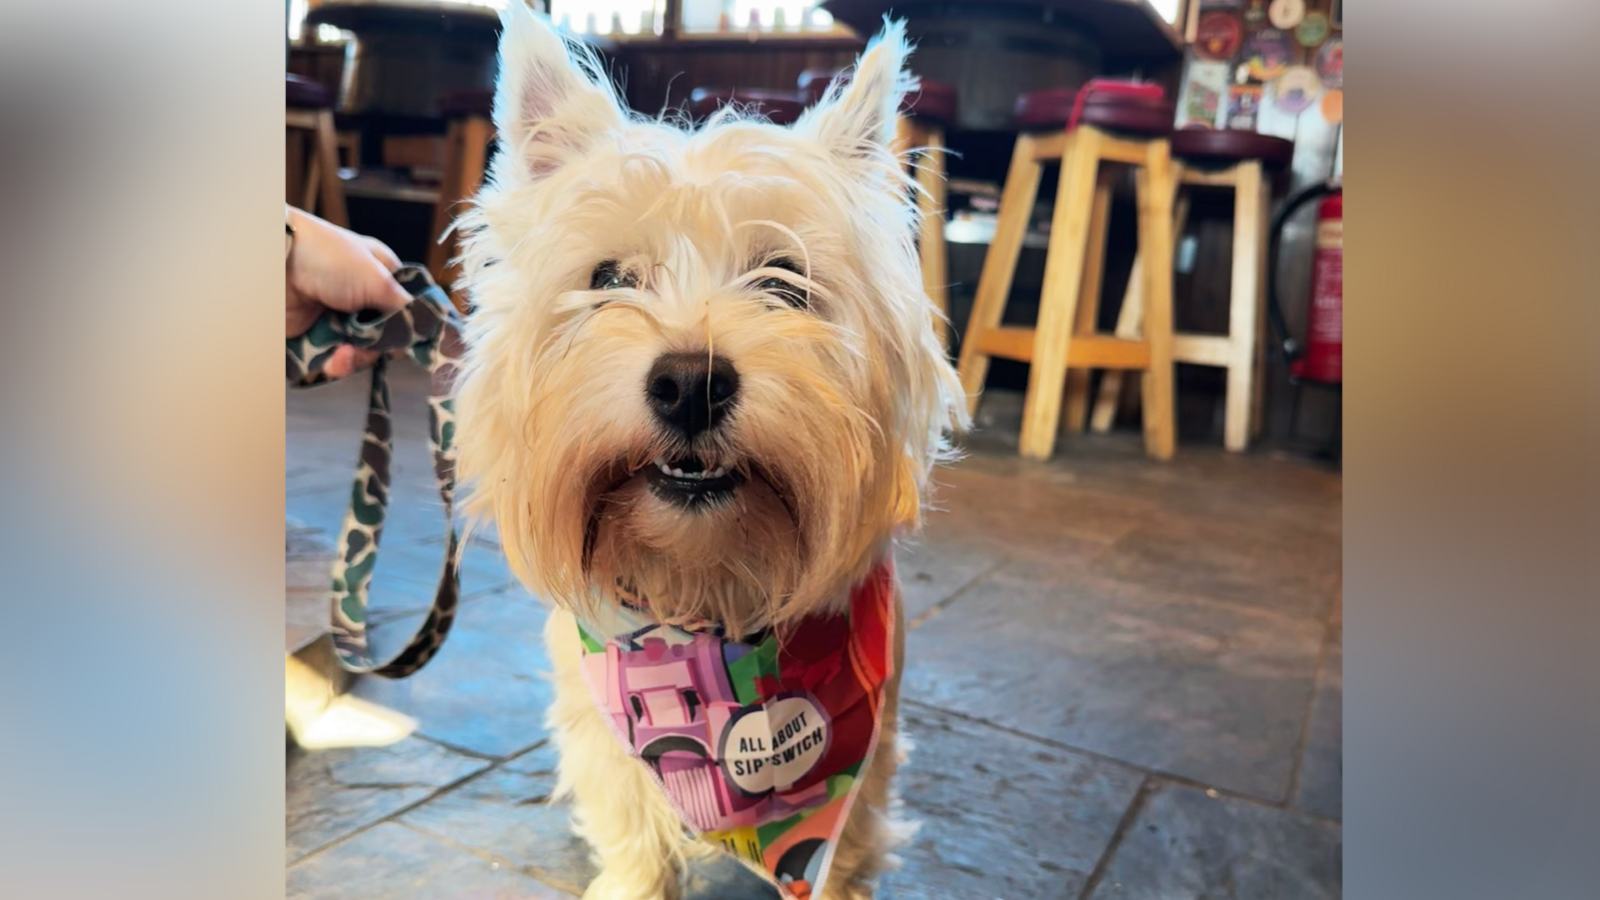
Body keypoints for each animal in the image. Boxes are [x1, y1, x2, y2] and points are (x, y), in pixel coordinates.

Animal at [448, 8, 960, 896]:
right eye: (609, 277)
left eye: (784, 281)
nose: (691, 384)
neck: (704, 598)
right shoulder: (607, 736)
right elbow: (633, 832)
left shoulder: (870, 760)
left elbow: (847, 853)